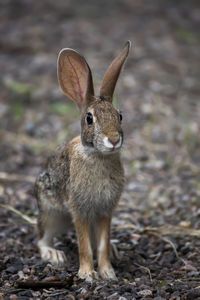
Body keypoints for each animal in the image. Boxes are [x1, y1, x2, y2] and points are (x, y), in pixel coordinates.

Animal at [35, 40, 130, 282]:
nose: (113, 140)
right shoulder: (80, 210)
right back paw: (54, 254)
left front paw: (108, 273)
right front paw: (88, 274)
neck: (97, 155)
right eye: (89, 119)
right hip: (50, 212)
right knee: (42, 237)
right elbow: (84, 245)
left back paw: (115, 251)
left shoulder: (105, 211)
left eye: (120, 115)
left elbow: (102, 243)